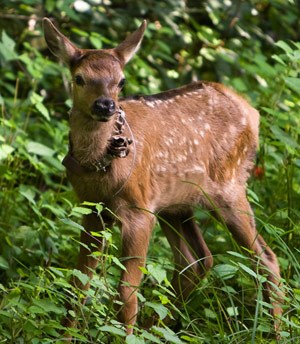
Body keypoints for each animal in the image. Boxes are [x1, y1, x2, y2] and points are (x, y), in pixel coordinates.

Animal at [43, 18, 282, 334]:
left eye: (121, 81)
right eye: (80, 78)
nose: (105, 105)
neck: (101, 172)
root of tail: (252, 112)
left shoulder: (139, 211)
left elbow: (126, 291)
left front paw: (124, 336)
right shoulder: (92, 210)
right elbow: (78, 283)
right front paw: (67, 335)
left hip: (229, 188)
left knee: (266, 258)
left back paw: (275, 332)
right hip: (176, 203)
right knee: (197, 261)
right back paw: (158, 328)